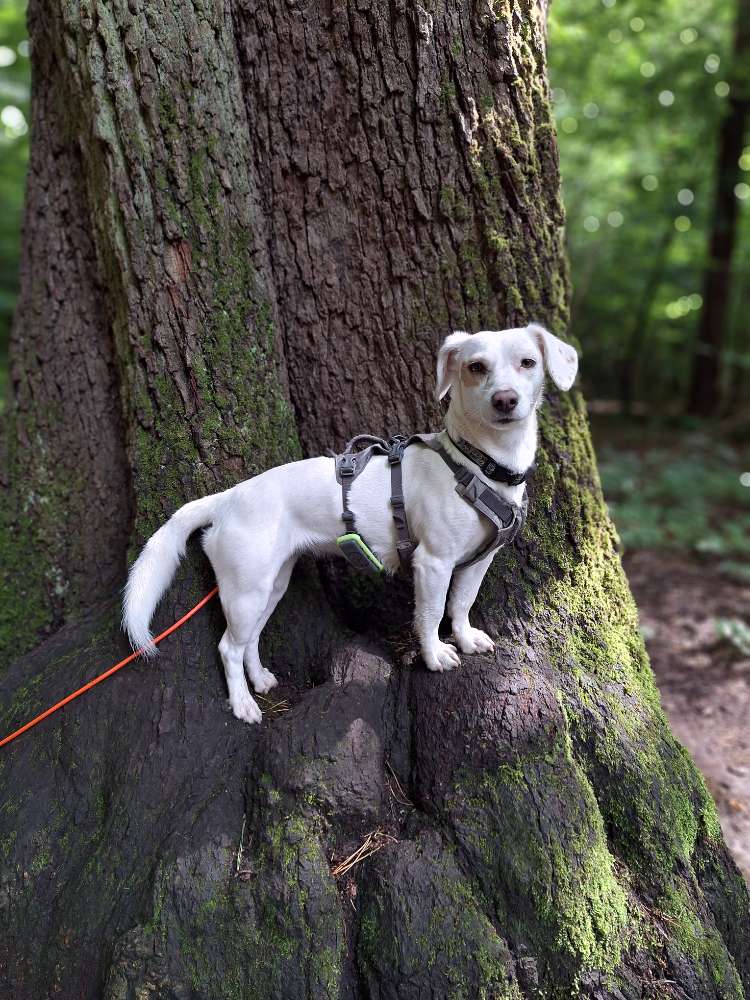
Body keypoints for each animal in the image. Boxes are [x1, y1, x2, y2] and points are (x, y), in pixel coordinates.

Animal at [125, 324, 580, 724]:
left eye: (527, 362)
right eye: (476, 367)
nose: (505, 400)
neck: (478, 464)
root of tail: (227, 498)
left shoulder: (476, 562)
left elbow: (461, 604)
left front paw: (466, 639)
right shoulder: (433, 564)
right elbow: (432, 613)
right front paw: (435, 655)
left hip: (270, 586)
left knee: (249, 640)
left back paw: (260, 680)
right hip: (245, 591)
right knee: (227, 648)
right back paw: (242, 704)